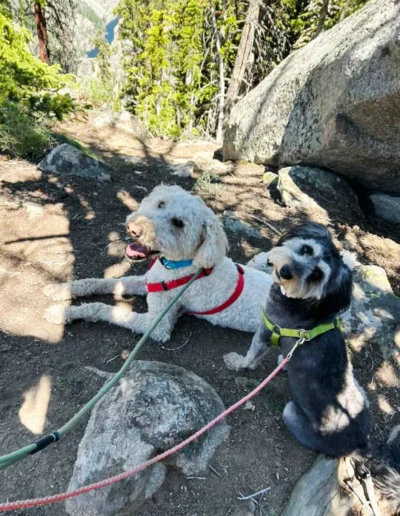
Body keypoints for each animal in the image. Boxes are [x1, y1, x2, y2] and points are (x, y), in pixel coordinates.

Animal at [44, 185, 272, 342]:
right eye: (161, 203)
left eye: (179, 223)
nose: (134, 229)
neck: (179, 265)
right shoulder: (148, 282)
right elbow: (101, 282)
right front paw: (60, 290)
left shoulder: (157, 324)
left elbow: (103, 308)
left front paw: (61, 312)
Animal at [225, 225, 400, 508]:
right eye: (306, 249)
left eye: (317, 275)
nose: (286, 271)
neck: (305, 306)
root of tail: (361, 444)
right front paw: (282, 364)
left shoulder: (266, 329)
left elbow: (252, 354)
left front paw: (237, 363)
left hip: (291, 414)